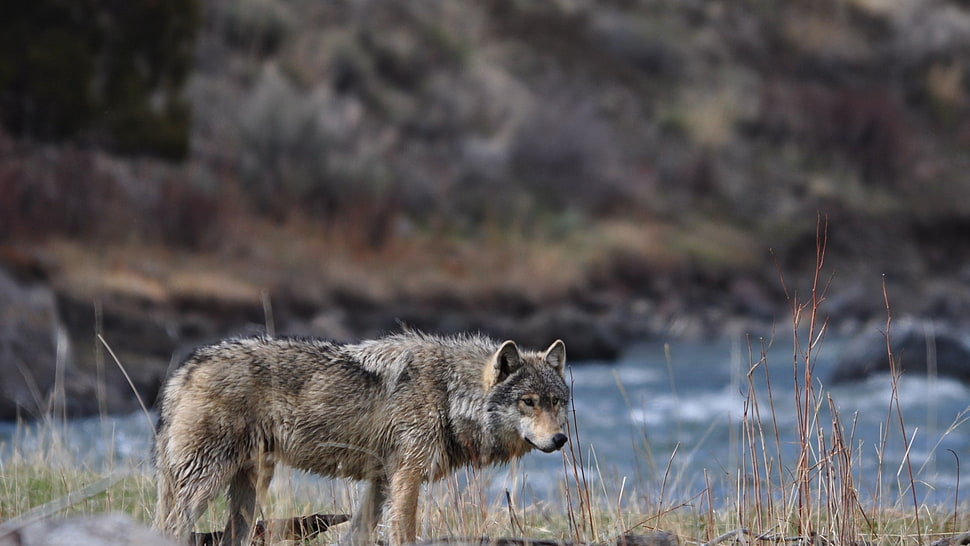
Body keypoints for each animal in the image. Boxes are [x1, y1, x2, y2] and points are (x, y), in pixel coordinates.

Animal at [153, 330, 569, 546]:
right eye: (528, 402)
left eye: (556, 402)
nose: (560, 439)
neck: (449, 394)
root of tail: (186, 370)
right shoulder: (406, 477)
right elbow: (404, 533)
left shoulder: (381, 480)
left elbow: (357, 533)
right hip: (206, 482)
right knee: (170, 529)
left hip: (249, 489)